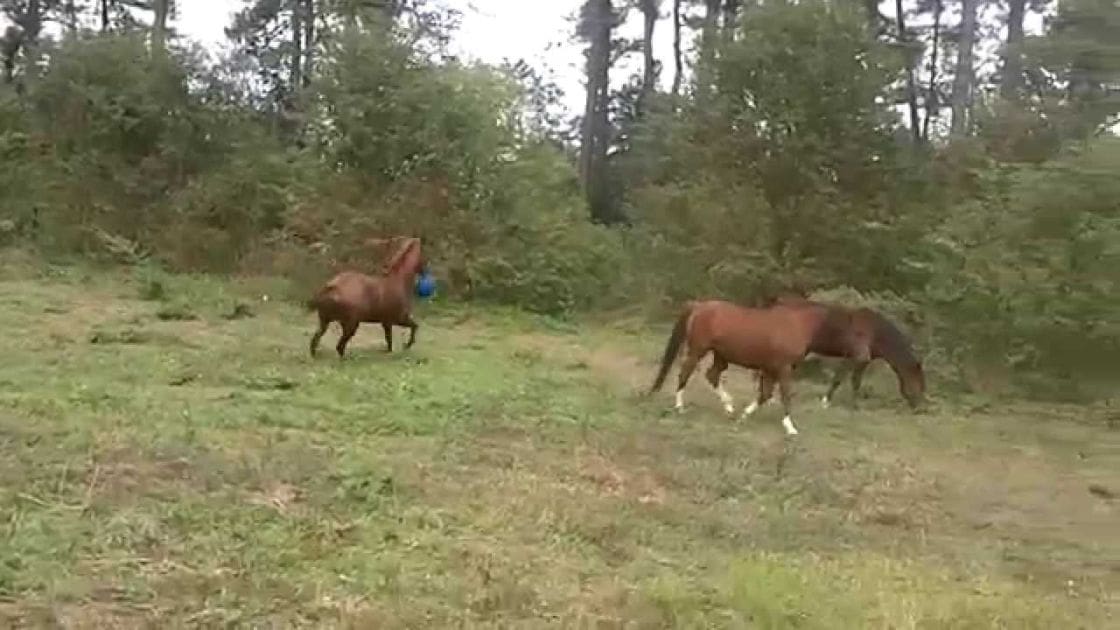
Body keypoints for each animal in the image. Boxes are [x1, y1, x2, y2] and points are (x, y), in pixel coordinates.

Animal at [648, 299, 843, 436]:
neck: (795, 324)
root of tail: (699, 306)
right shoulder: (784, 368)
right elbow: (784, 395)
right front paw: (790, 428)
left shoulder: (770, 369)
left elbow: (765, 394)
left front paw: (744, 416)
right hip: (698, 350)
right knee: (685, 374)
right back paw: (679, 407)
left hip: (720, 355)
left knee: (712, 375)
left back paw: (729, 407)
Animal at [763, 296, 926, 410]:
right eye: (918, 381)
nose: (918, 406)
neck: (874, 332)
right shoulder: (857, 357)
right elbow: (843, 380)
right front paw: (829, 403)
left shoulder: (858, 360)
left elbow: (850, 380)